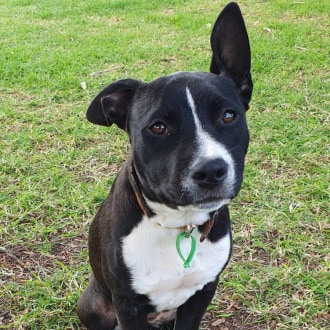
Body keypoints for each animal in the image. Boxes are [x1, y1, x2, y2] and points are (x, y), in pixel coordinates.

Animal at [78, 2, 253, 330]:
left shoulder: (203, 292)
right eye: (158, 127)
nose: (210, 170)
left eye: (228, 115)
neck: (180, 225)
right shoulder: (127, 304)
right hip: (93, 305)